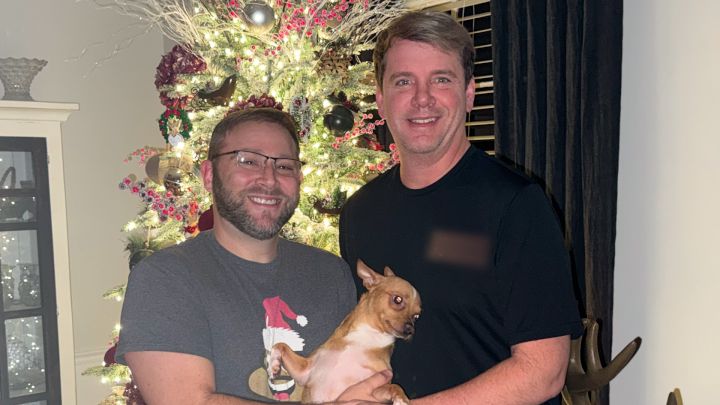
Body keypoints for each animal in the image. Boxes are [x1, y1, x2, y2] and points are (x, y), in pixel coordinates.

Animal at [267, 259, 421, 404]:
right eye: (398, 299)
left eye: (416, 316)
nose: (411, 329)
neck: (366, 338)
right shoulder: (304, 373)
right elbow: (280, 345)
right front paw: (273, 365)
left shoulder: (376, 392)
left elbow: (394, 386)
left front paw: (401, 398)